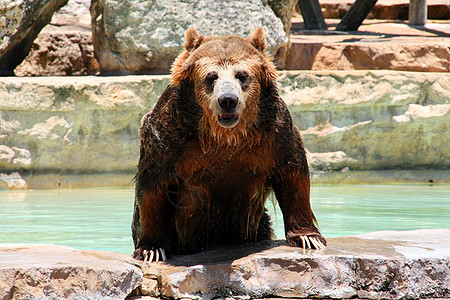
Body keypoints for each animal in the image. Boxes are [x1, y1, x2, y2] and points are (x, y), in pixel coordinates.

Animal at [132, 28, 326, 262]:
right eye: (211, 76)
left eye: (242, 75)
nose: (227, 100)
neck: (225, 136)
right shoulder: (169, 139)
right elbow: (154, 186)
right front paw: (151, 249)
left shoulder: (274, 135)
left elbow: (293, 174)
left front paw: (308, 237)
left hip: (261, 225)